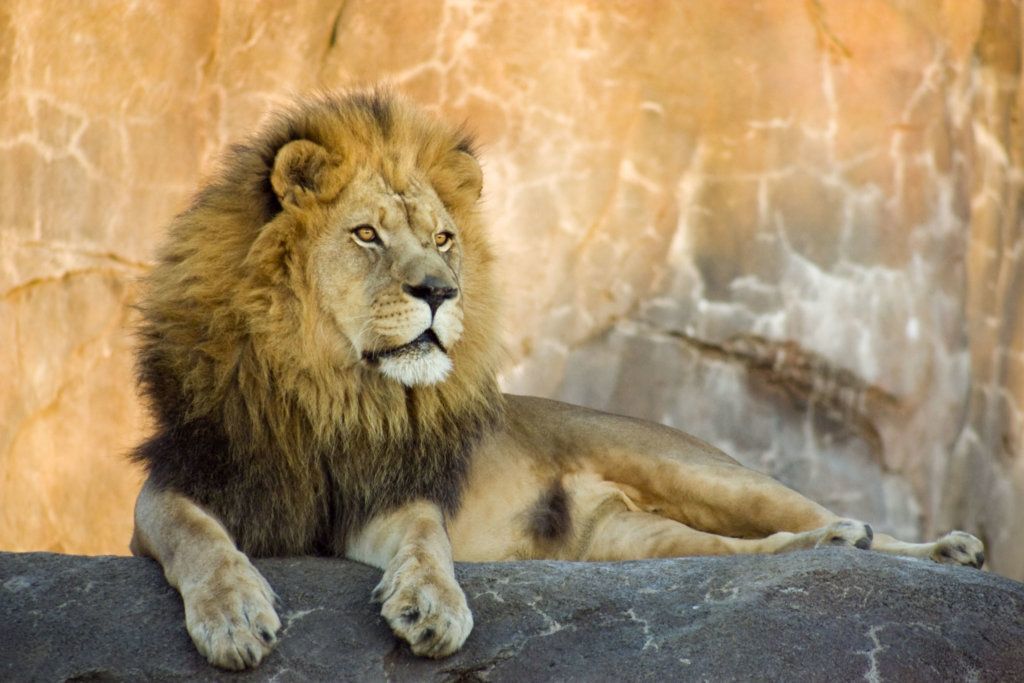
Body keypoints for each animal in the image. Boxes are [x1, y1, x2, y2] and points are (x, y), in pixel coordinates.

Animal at [129, 89, 985, 670]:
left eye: (444, 237)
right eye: (366, 233)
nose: (440, 289)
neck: (338, 389)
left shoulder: (393, 493)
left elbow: (425, 538)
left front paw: (433, 605)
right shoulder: (179, 483)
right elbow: (196, 536)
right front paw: (234, 615)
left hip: (703, 472)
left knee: (811, 517)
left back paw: (929, 546)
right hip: (634, 543)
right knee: (743, 552)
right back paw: (836, 543)